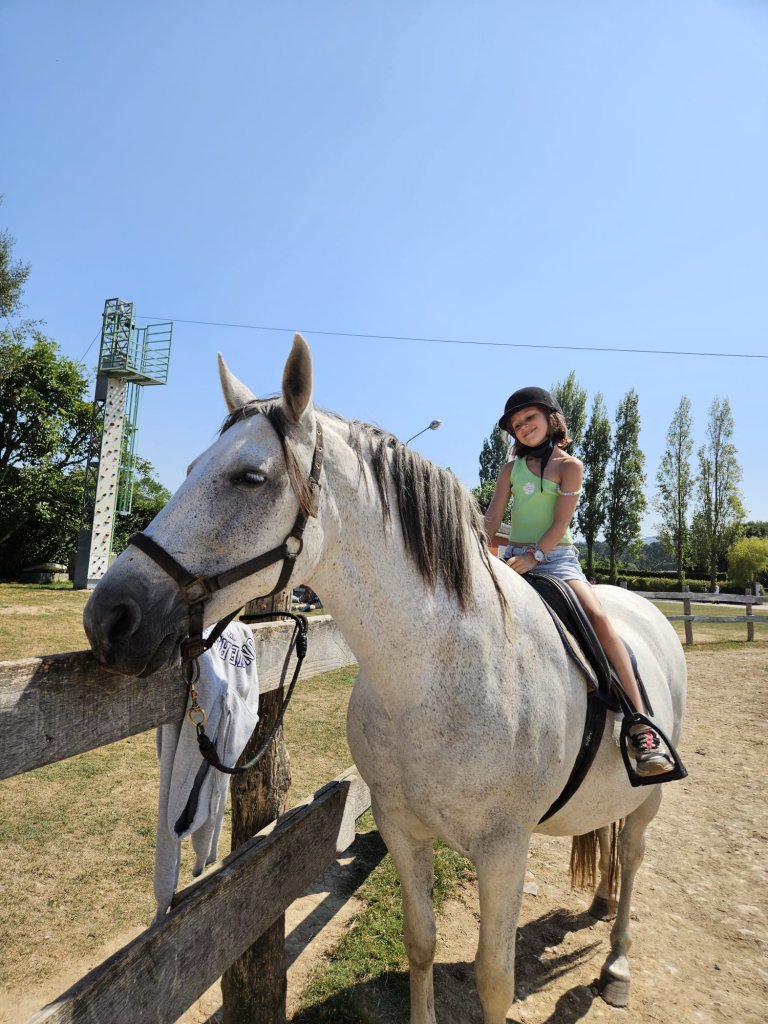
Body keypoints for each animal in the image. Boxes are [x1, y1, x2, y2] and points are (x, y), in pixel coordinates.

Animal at [84, 334, 687, 1024]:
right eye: (187, 470)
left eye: (250, 477)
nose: (109, 617)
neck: (437, 674)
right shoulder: (402, 830)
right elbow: (420, 943)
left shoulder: (504, 853)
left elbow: (494, 981)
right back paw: (600, 903)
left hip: (650, 797)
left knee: (634, 854)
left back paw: (618, 965)